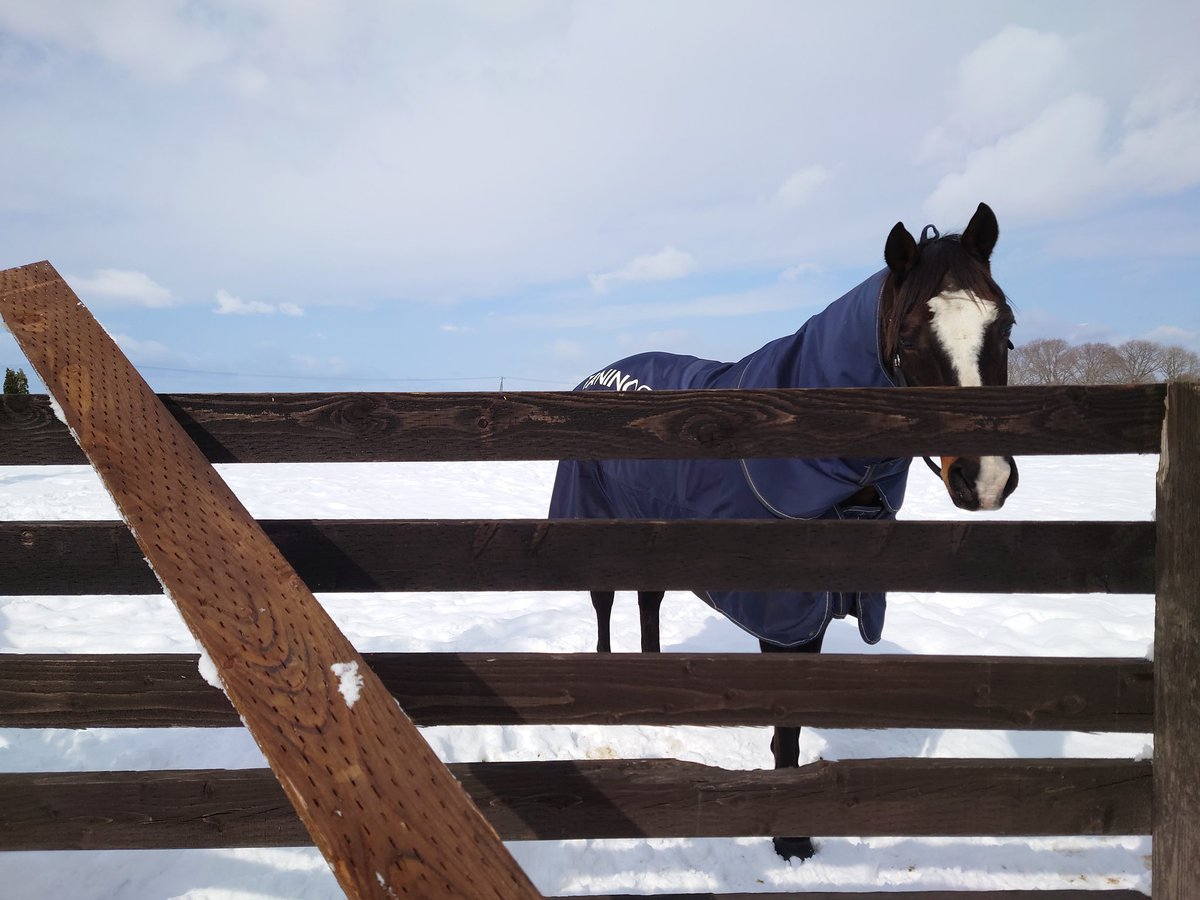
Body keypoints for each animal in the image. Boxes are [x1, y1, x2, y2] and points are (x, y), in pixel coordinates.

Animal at [548, 202, 1018, 861]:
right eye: (909, 340)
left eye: (1005, 327)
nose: (987, 478)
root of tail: (597, 378)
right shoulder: (786, 604)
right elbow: (787, 718)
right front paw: (790, 835)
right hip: (597, 524)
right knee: (604, 601)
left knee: (648, 599)